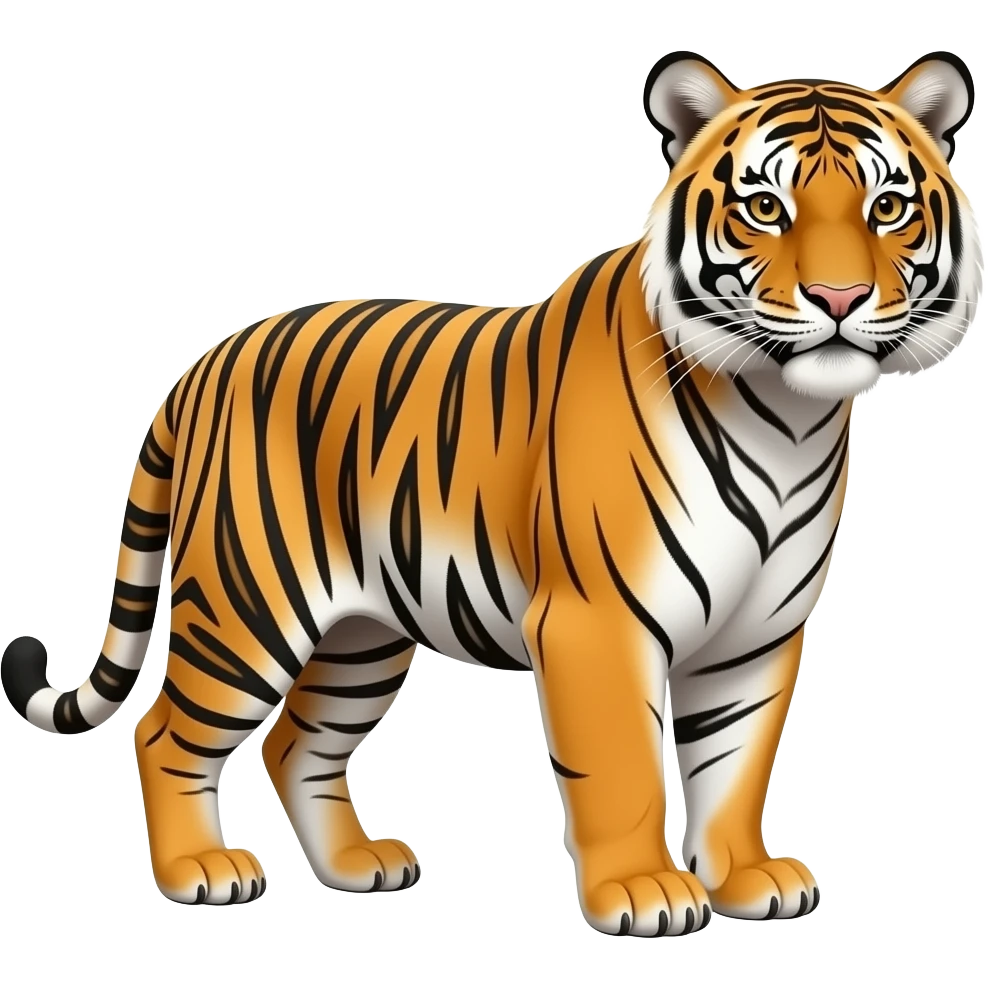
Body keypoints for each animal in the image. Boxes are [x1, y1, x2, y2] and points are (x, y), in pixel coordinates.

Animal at [1, 49, 981, 937]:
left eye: (887, 207)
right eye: (765, 208)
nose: (840, 297)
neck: (787, 416)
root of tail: (205, 361)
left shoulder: (757, 634)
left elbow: (736, 765)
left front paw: (746, 880)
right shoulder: (597, 621)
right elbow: (624, 766)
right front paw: (644, 893)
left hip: (362, 635)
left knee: (296, 742)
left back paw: (357, 866)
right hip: (247, 607)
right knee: (165, 732)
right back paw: (199, 872)